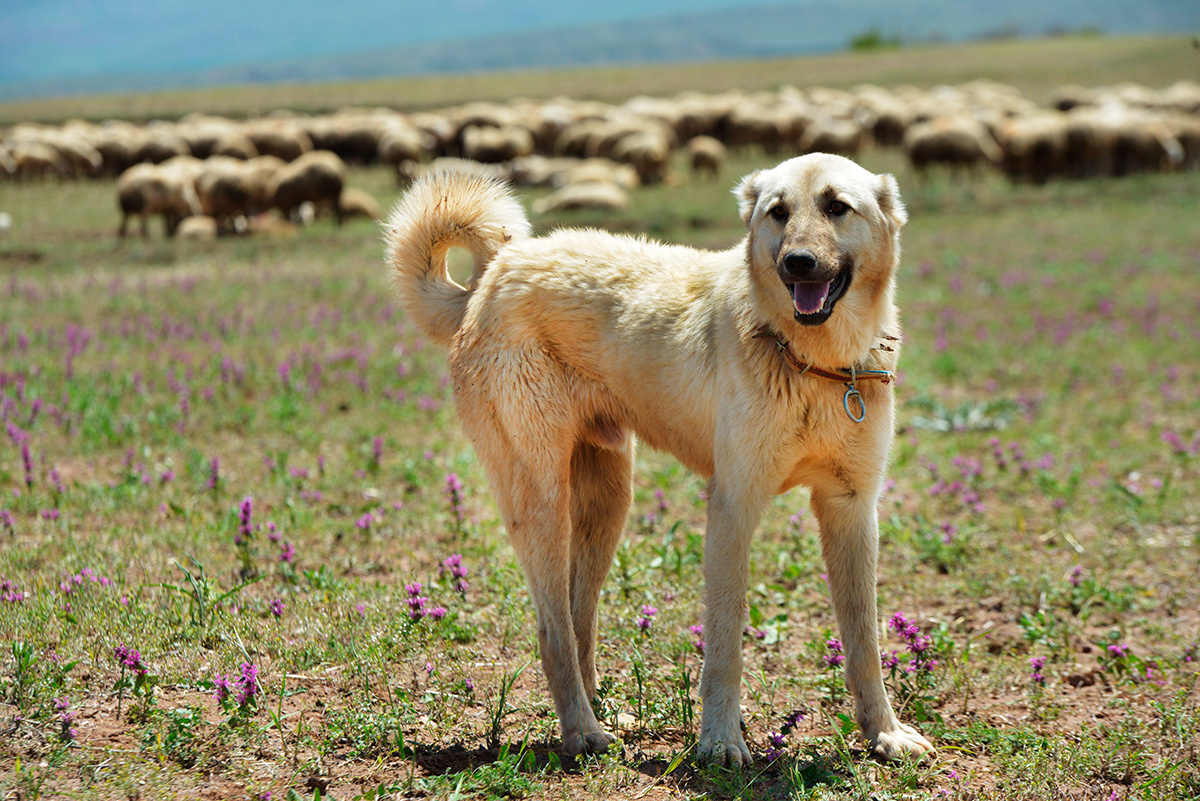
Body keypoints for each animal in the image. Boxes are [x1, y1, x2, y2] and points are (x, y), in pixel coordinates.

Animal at [384, 154, 936, 762]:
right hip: (541, 502)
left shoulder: (851, 508)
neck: (815, 362)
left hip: (607, 504)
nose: (798, 263)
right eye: (778, 212)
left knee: (578, 619)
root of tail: (492, 275)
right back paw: (581, 732)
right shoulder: (733, 507)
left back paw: (601, 712)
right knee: (553, 631)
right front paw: (719, 741)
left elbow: (864, 639)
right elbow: (725, 641)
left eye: (838, 207)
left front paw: (884, 732)